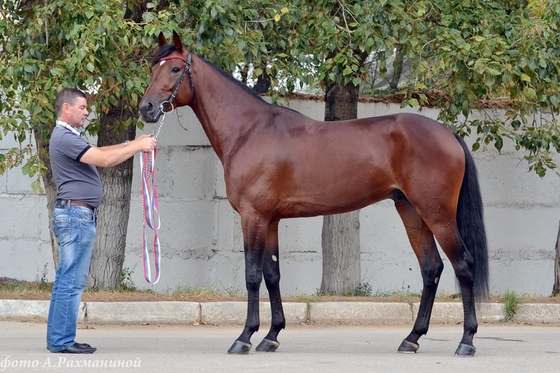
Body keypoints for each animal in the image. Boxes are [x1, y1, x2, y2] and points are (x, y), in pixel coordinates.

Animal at [141, 31, 490, 354]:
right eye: (153, 67)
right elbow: (272, 274)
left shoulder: (253, 216)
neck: (250, 131)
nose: (147, 108)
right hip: (412, 211)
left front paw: (244, 338)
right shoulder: (270, 220)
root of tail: (448, 133)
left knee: (463, 265)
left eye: (175, 69)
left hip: (437, 214)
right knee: (431, 269)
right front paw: (271, 336)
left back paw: (466, 341)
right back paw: (411, 338)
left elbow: (253, 275)